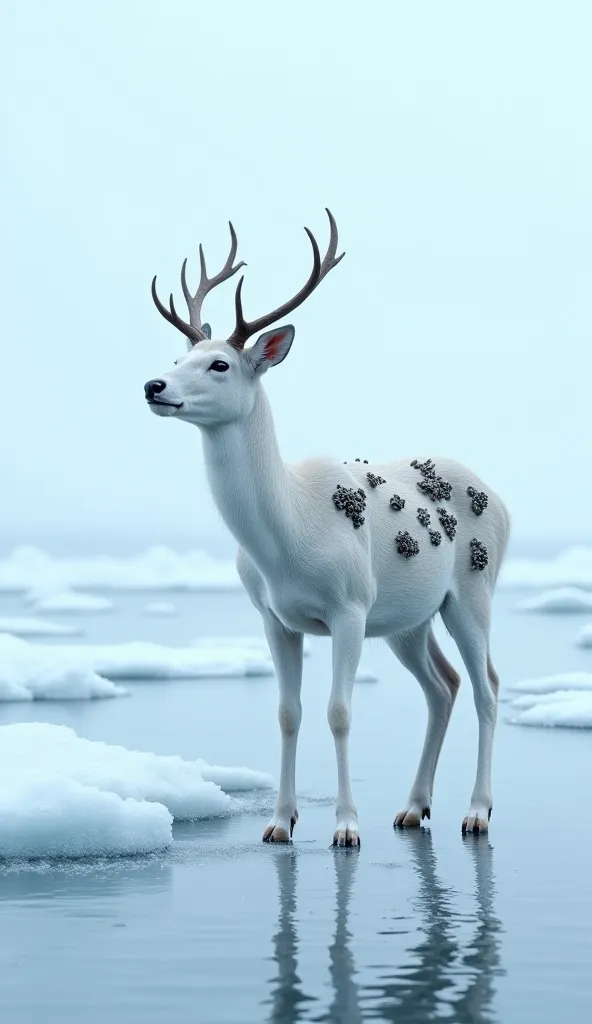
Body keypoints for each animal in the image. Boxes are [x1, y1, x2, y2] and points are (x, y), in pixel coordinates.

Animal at [146, 209, 508, 847]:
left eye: (219, 364)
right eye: (176, 359)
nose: (153, 387)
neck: (287, 533)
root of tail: (507, 504)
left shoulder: (349, 607)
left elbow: (338, 712)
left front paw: (345, 826)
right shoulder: (274, 616)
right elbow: (287, 713)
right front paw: (279, 822)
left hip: (472, 592)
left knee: (487, 686)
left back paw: (476, 812)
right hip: (407, 619)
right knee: (443, 686)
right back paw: (413, 807)